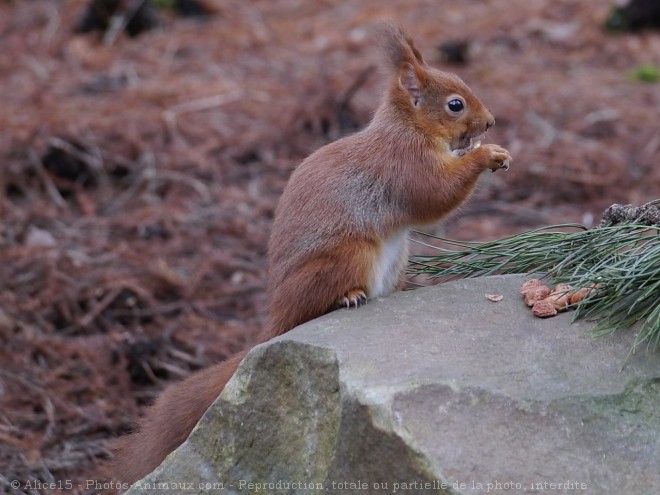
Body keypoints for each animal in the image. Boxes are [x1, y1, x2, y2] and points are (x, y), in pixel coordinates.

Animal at [112, 22, 510, 484]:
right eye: (454, 104)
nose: (490, 122)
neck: (408, 129)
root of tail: (277, 318)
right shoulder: (404, 165)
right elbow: (435, 194)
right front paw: (485, 154)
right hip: (349, 255)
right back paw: (349, 296)